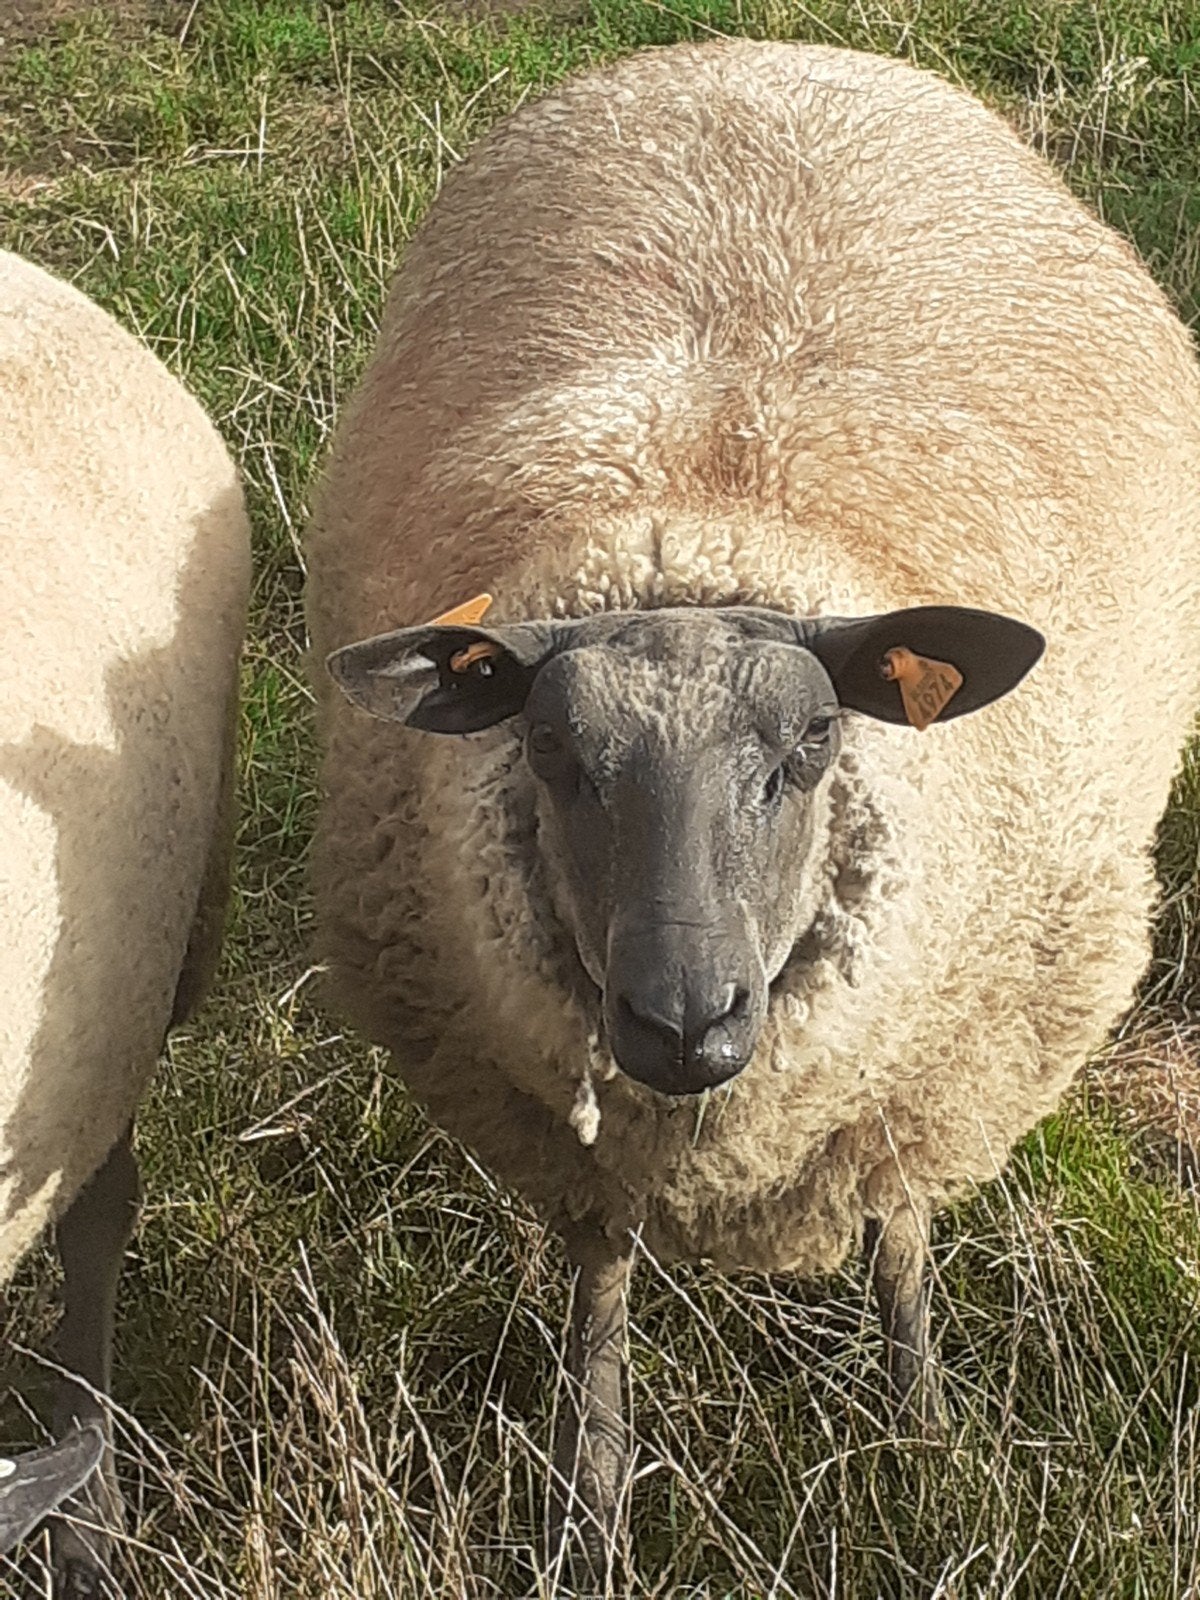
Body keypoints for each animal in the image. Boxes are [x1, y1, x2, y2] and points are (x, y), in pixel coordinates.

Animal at [305, 38, 1200, 1574]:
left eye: (814, 741)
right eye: (552, 750)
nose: (686, 1021)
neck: (711, 491)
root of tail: (767, 49)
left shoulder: (926, 1072)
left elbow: (899, 1235)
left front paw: (921, 1441)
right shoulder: (585, 1133)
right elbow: (601, 1284)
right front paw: (590, 1498)